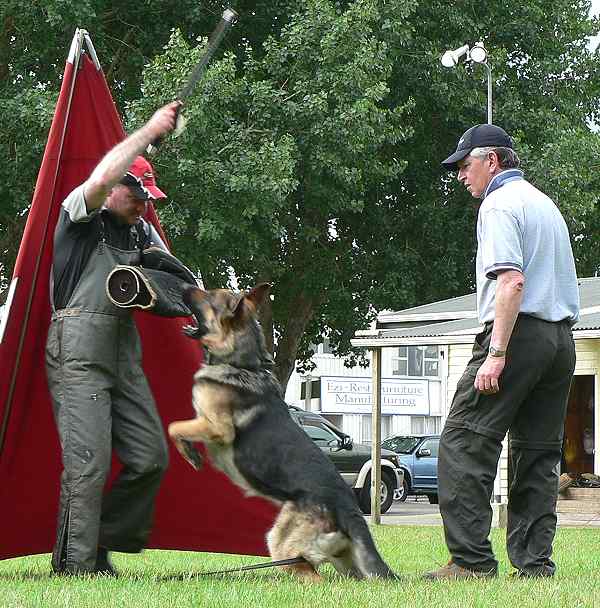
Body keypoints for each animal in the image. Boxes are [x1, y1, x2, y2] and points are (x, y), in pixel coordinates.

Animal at [166, 284, 396, 580]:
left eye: (209, 297)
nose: (183, 286)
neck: (242, 364)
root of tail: (350, 509)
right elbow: (178, 427)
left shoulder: (217, 427)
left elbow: (174, 426)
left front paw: (189, 454)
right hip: (347, 564)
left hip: (282, 543)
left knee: (311, 575)